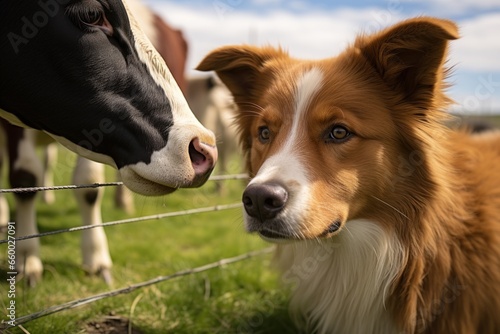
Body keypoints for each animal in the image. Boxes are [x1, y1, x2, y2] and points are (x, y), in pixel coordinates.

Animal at [0, 0, 218, 286]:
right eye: (91, 14)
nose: (204, 148)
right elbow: (25, 179)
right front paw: (27, 259)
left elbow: (90, 185)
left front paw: (96, 258)